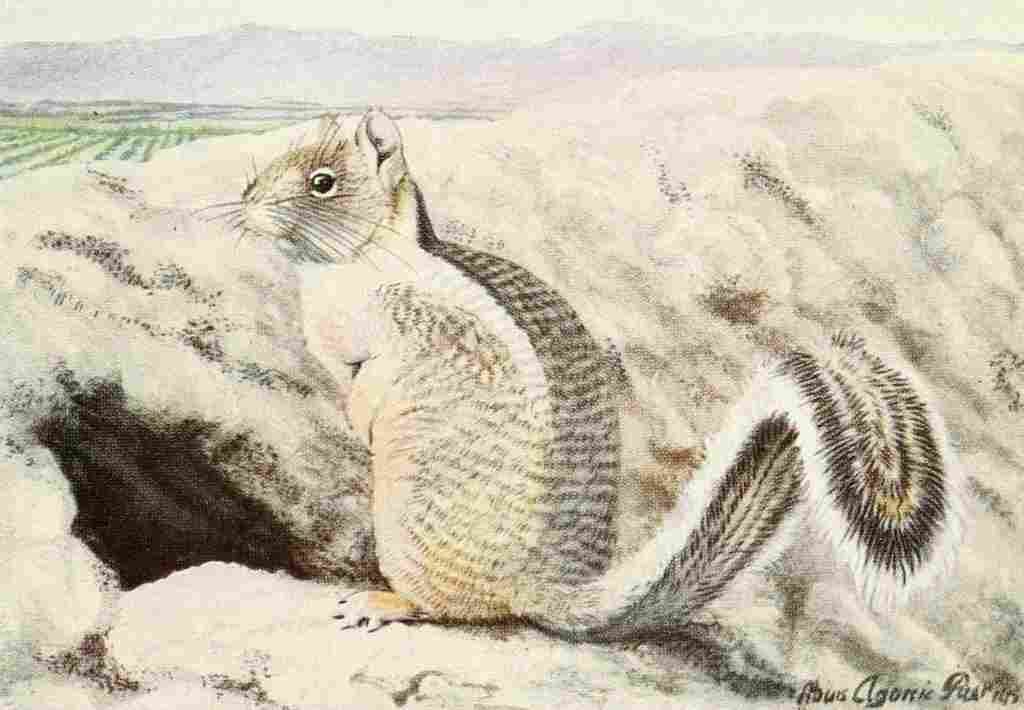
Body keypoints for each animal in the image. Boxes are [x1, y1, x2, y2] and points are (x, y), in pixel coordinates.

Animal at [227, 109, 965, 640]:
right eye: (271, 170)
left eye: (322, 182)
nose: (245, 203)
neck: (367, 256)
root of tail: (539, 587)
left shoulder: (388, 335)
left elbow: (372, 380)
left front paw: (362, 420)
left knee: (451, 610)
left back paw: (382, 602)